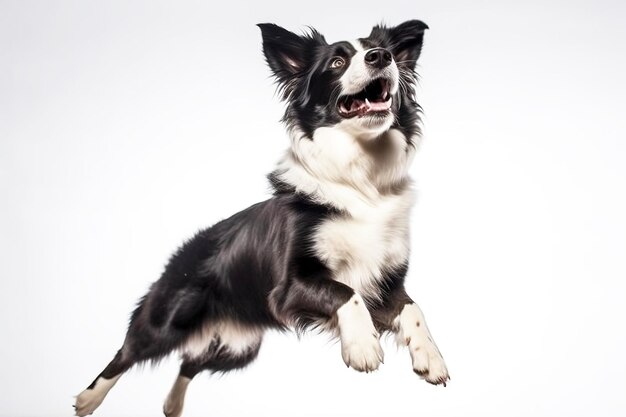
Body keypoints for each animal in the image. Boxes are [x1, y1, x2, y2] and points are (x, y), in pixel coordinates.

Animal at [74, 19, 448, 416]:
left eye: (386, 52)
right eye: (337, 62)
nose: (381, 57)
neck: (361, 179)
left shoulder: (386, 284)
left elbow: (413, 309)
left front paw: (431, 357)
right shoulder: (289, 287)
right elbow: (345, 292)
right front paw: (362, 345)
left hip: (241, 348)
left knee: (190, 361)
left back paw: (172, 405)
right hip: (170, 318)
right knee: (126, 353)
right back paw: (88, 398)